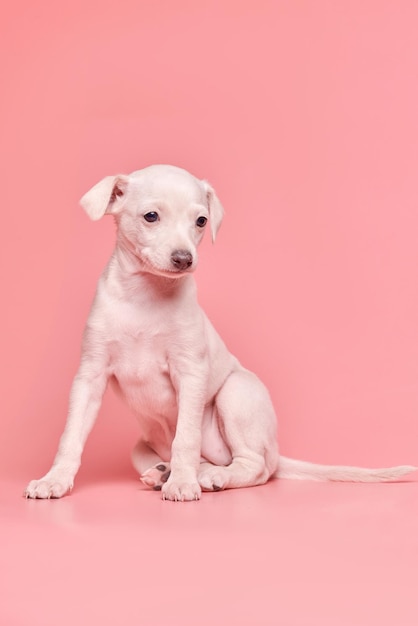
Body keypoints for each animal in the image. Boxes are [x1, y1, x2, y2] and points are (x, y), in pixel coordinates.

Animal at [25, 163, 414, 500]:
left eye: (201, 221)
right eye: (151, 216)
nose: (184, 259)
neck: (144, 296)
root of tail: (276, 451)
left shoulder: (190, 373)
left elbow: (186, 437)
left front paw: (182, 484)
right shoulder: (90, 375)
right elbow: (71, 436)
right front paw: (54, 479)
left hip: (236, 393)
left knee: (255, 467)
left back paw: (210, 475)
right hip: (141, 445)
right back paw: (164, 473)